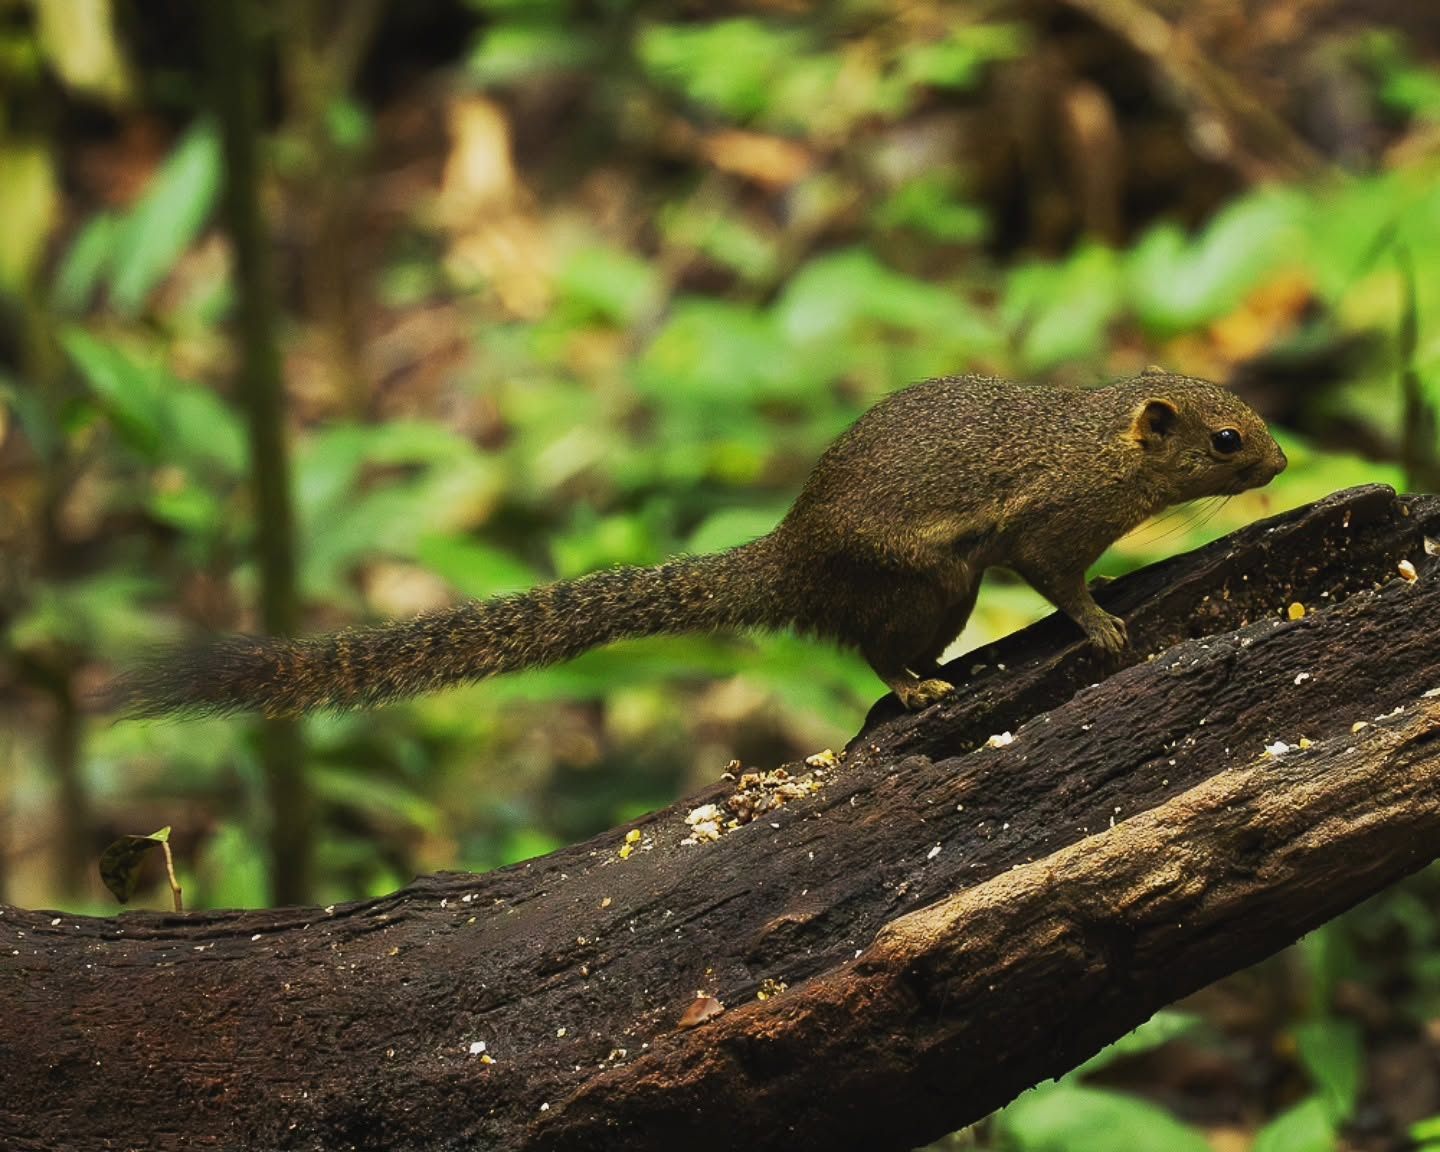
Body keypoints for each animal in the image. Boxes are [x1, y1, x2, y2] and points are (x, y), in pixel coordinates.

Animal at [123, 369, 1286, 717]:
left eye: (1251, 414)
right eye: (1227, 439)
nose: (1280, 461)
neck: (1099, 447)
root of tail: (789, 551)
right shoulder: (1043, 525)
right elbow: (1054, 577)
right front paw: (1100, 624)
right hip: (930, 579)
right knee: (872, 648)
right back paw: (916, 687)